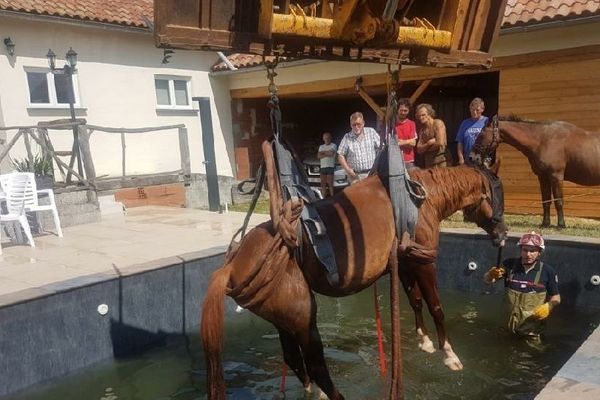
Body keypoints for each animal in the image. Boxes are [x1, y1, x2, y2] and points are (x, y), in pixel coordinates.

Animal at [202, 164, 506, 398]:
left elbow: (416, 301)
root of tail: (232, 265)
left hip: (283, 320)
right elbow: (436, 307)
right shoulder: (423, 262)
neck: (417, 199)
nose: (502, 233)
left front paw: (425, 341)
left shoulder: (405, 263)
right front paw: (449, 354)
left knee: (295, 360)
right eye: (499, 193)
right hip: (303, 317)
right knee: (316, 365)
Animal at [472, 115, 600, 228]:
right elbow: (546, 201)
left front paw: (561, 225)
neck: (543, 140)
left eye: (481, 133)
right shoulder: (543, 177)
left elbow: (558, 201)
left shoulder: (556, 176)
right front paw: (545, 223)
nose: (472, 157)